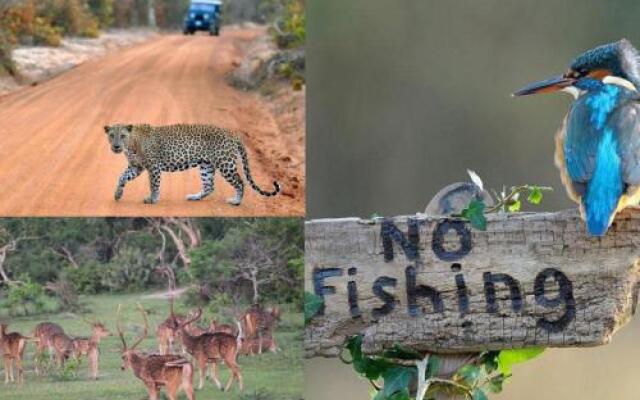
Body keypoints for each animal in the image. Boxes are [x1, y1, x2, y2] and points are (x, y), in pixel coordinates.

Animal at [104, 123, 280, 206]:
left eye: (122, 136)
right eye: (111, 135)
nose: (116, 146)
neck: (131, 144)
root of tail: (232, 134)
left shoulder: (153, 167)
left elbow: (154, 184)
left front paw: (153, 199)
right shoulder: (136, 167)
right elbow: (122, 177)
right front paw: (117, 194)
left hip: (225, 164)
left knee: (240, 182)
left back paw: (236, 201)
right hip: (206, 165)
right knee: (209, 186)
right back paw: (194, 197)